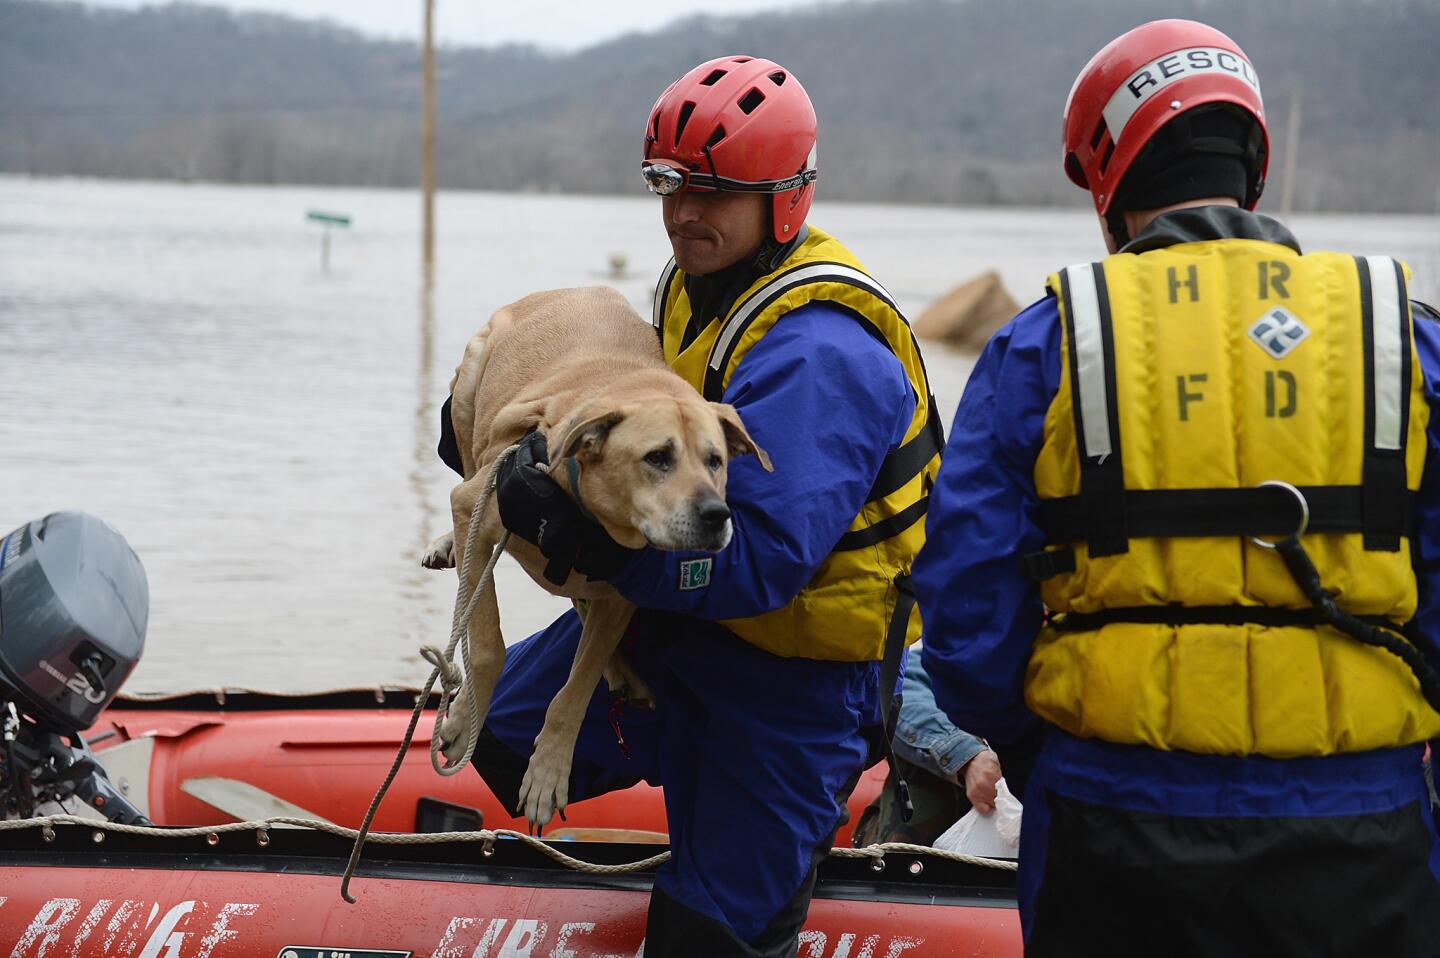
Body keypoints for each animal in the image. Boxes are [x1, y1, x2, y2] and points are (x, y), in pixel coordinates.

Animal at [423, 285, 771, 829]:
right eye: (657, 458)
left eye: (715, 460)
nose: (716, 515)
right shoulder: (477, 513)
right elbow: (487, 647)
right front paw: (461, 723)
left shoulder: (625, 584)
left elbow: (577, 685)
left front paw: (548, 771)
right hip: (470, 387)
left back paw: (621, 669)